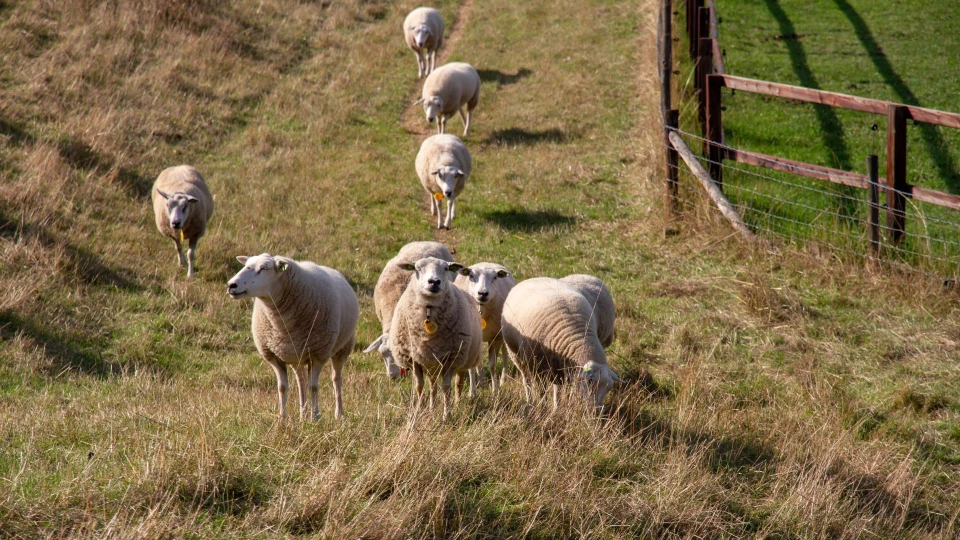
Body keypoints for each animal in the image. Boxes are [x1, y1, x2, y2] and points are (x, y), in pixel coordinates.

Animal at [227, 253, 359, 421]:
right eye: (246, 265)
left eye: (264, 268)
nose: (231, 285)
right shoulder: (274, 356)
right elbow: (282, 387)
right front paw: (282, 417)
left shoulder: (318, 354)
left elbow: (313, 387)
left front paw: (316, 417)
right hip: (296, 355)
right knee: (301, 381)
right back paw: (303, 414)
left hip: (342, 348)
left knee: (336, 379)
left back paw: (338, 414)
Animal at [389, 256, 482, 419]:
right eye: (417, 268)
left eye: (446, 268)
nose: (434, 282)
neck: (429, 308)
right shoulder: (414, 359)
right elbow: (419, 386)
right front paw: (419, 411)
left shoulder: (451, 358)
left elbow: (446, 387)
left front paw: (447, 415)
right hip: (431, 364)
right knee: (432, 385)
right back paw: (432, 407)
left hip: (463, 359)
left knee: (458, 384)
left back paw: (457, 404)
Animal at [454, 262, 515, 394]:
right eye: (471, 276)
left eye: (495, 278)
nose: (482, 293)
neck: (481, 310)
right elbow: (472, 367)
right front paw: (472, 392)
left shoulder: (495, 337)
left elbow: (492, 365)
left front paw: (495, 390)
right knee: (478, 362)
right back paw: (481, 382)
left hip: (503, 334)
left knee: (505, 354)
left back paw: (503, 380)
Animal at [501, 277, 622, 410]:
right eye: (590, 381)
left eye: (609, 388)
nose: (597, 411)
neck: (578, 338)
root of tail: (533, 278)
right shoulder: (537, 366)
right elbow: (541, 390)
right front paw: (543, 407)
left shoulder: (565, 368)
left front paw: (560, 407)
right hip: (516, 354)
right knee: (526, 380)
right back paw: (530, 402)